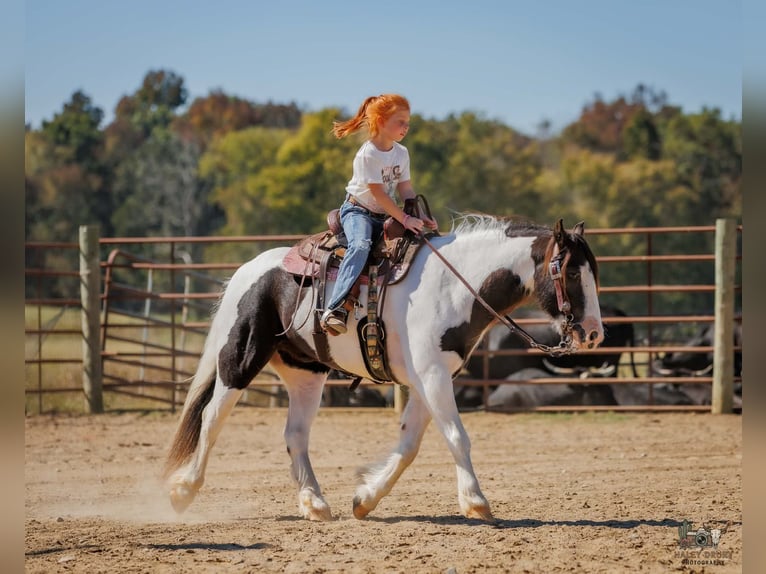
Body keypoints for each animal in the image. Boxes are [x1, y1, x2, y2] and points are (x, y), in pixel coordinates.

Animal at [163, 215, 604, 522]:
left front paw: (365, 499)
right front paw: (476, 501)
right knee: (212, 418)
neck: (453, 286)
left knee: (295, 434)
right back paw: (183, 491)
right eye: (569, 270)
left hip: (306, 372)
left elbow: (409, 445)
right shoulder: (432, 377)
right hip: (240, 358)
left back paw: (315, 502)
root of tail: (249, 270)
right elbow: (457, 438)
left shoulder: (432, 379)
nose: (594, 333)